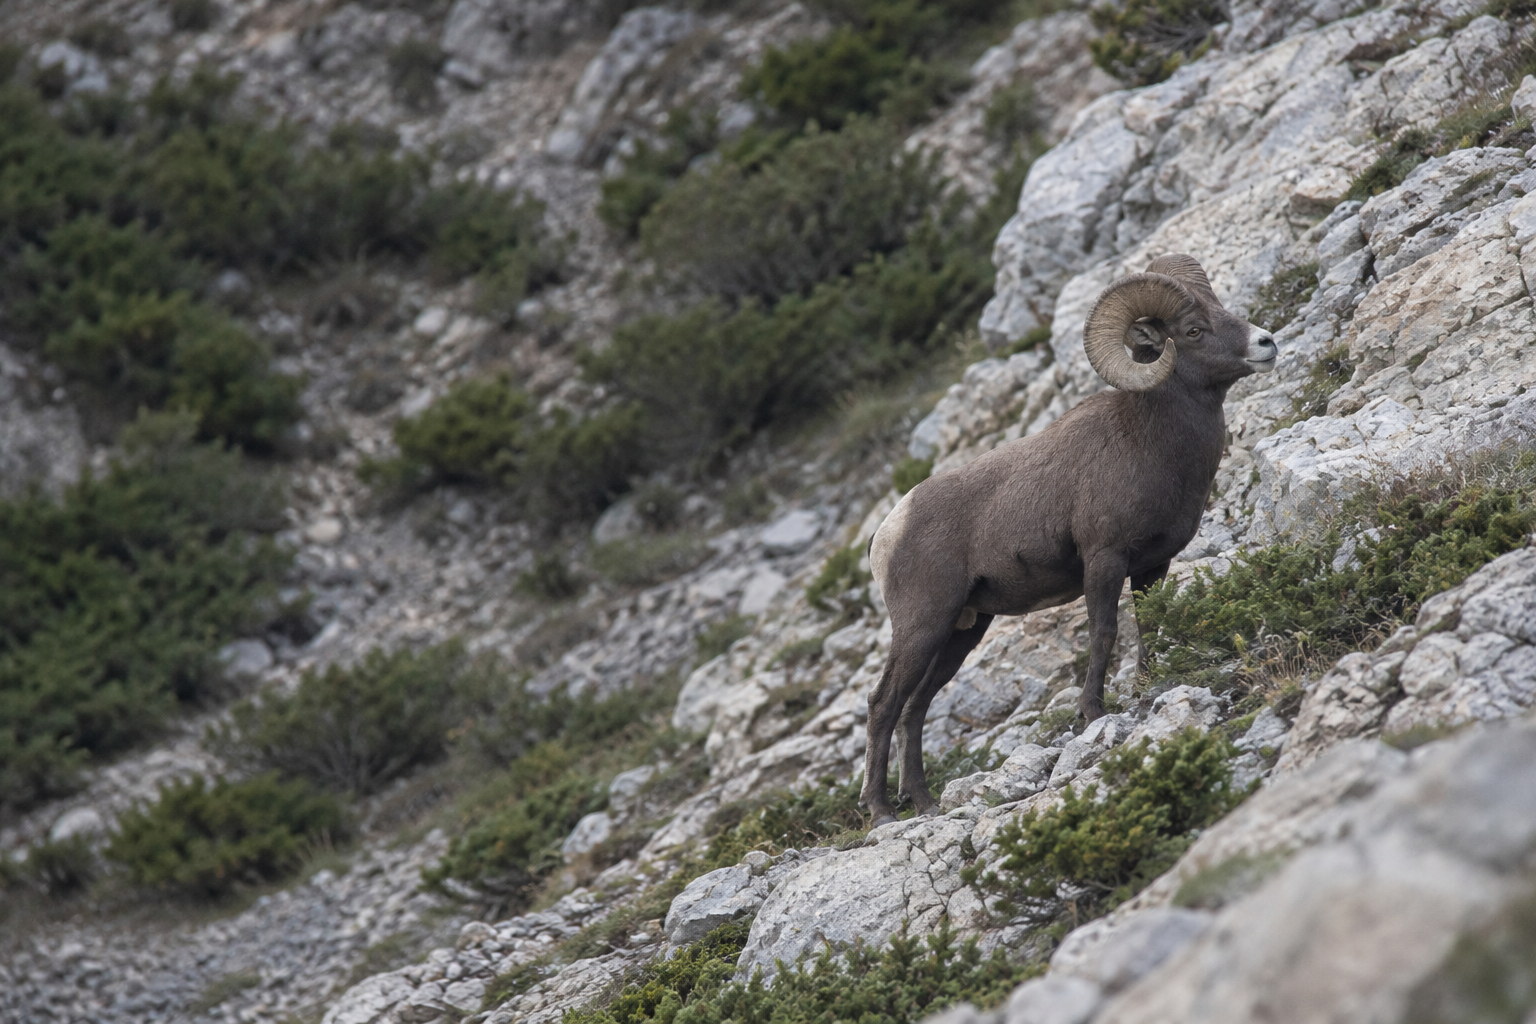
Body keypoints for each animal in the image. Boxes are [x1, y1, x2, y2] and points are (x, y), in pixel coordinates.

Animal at [860, 254, 1277, 825]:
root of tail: (887, 532)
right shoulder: (1104, 560)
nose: (1267, 343)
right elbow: (1104, 634)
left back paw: (923, 803)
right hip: (923, 626)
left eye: (1222, 309)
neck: (1153, 443)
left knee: (915, 707)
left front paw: (1146, 690)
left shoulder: (1152, 567)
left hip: (963, 631)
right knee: (884, 705)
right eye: (1193, 329)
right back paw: (882, 812)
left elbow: (1150, 630)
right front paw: (1093, 712)